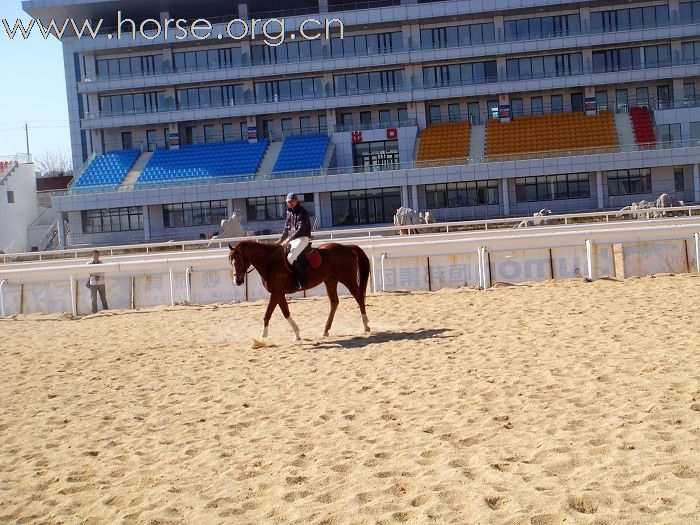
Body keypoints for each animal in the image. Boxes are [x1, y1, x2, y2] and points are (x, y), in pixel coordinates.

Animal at [230, 241, 372, 340]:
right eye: (231, 262)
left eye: (238, 262)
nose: (237, 281)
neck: (270, 262)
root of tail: (347, 247)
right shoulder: (279, 293)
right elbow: (285, 312)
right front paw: (297, 334)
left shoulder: (276, 293)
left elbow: (268, 314)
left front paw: (262, 338)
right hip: (330, 281)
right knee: (334, 302)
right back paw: (325, 330)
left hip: (347, 279)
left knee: (359, 297)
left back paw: (366, 326)